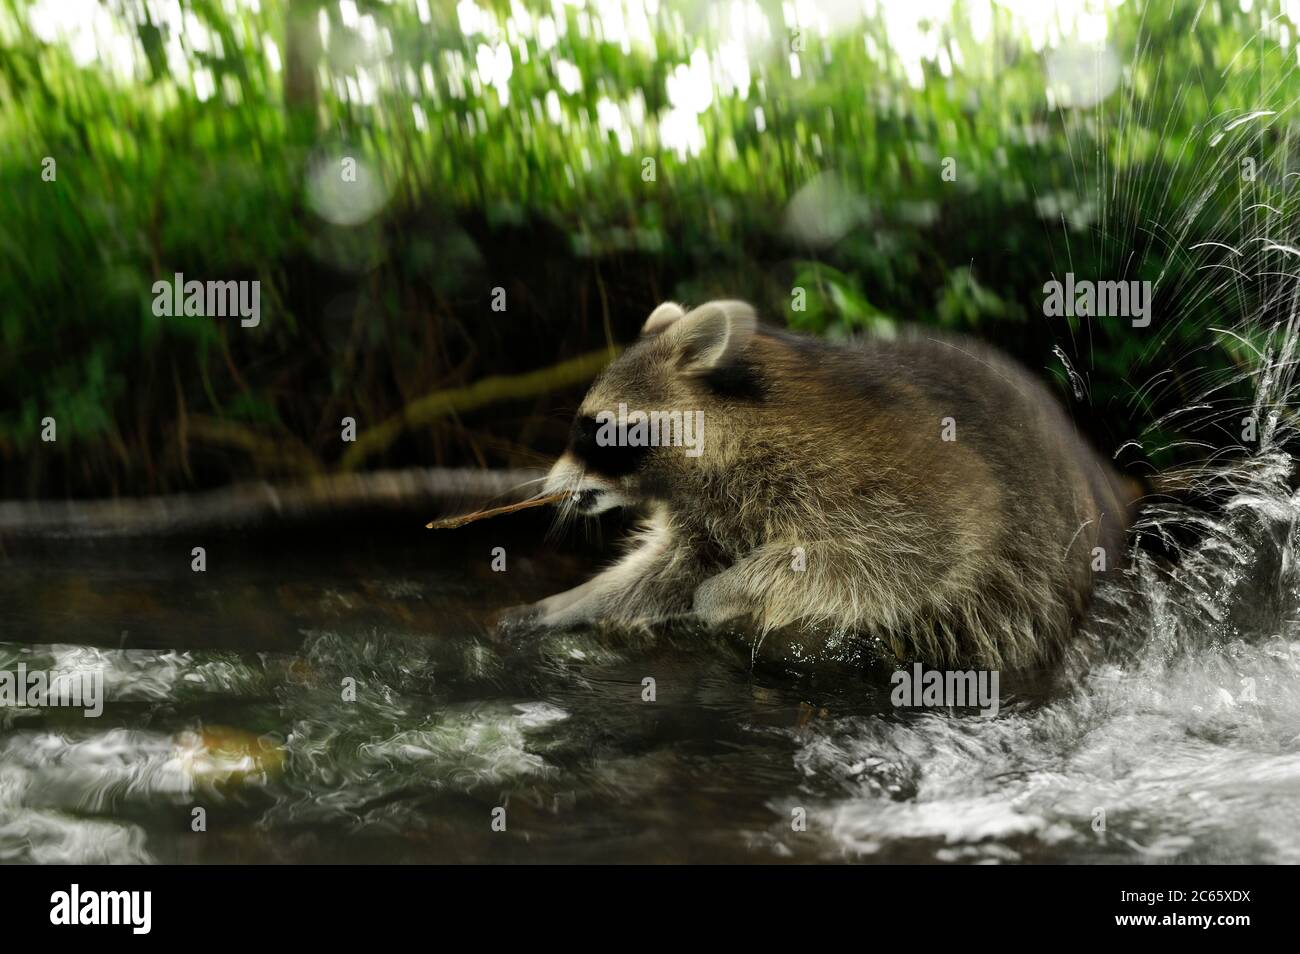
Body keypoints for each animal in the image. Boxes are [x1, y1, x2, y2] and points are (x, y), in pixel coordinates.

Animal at [501, 300, 1144, 670]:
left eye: (594, 429)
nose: (546, 487)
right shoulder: (710, 508)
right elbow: (670, 570)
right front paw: (572, 602)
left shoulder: (901, 475)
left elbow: (910, 547)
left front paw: (725, 592)